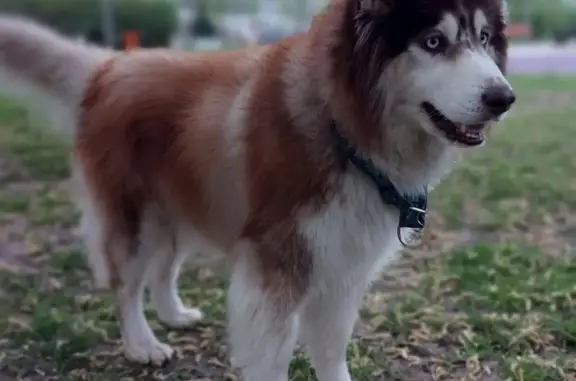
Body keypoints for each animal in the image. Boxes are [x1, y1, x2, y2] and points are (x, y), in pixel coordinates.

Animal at [0, 0, 516, 378]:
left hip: (182, 204)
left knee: (163, 269)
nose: (504, 98)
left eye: (484, 39)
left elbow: (331, 348)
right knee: (126, 284)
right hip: (136, 217)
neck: (339, 127)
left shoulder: (344, 267)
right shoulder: (278, 269)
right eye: (434, 42)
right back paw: (142, 343)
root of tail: (108, 68)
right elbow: (271, 356)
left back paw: (174, 313)